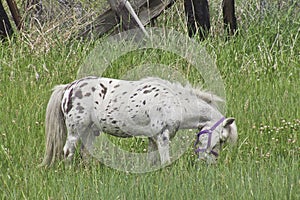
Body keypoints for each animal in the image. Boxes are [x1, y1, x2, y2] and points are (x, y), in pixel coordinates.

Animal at [39, 76, 238, 167]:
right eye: (221, 139)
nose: (211, 163)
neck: (175, 103)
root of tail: (68, 88)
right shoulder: (162, 136)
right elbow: (165, 160)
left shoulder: (153, 138)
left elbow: (152, 160)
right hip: (75, 130)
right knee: (68, 151)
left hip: (89, 131)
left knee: (84, 153)